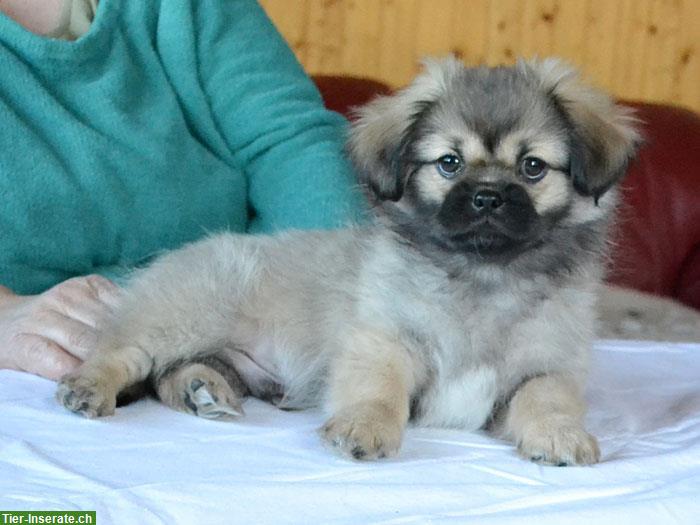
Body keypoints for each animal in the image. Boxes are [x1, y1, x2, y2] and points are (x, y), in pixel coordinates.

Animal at [58, 59, 640, 464]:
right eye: (449, 163)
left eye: (532, 167)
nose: (489, 197)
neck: (482, 276)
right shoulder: (383, 340)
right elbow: (378, 390)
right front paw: (366, 429)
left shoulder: (547, 368)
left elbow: (547, 399)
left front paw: (561, 435)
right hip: (183, 316)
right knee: (123, 354)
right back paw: (93, 388)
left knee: (173, 373)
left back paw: (203, 391)